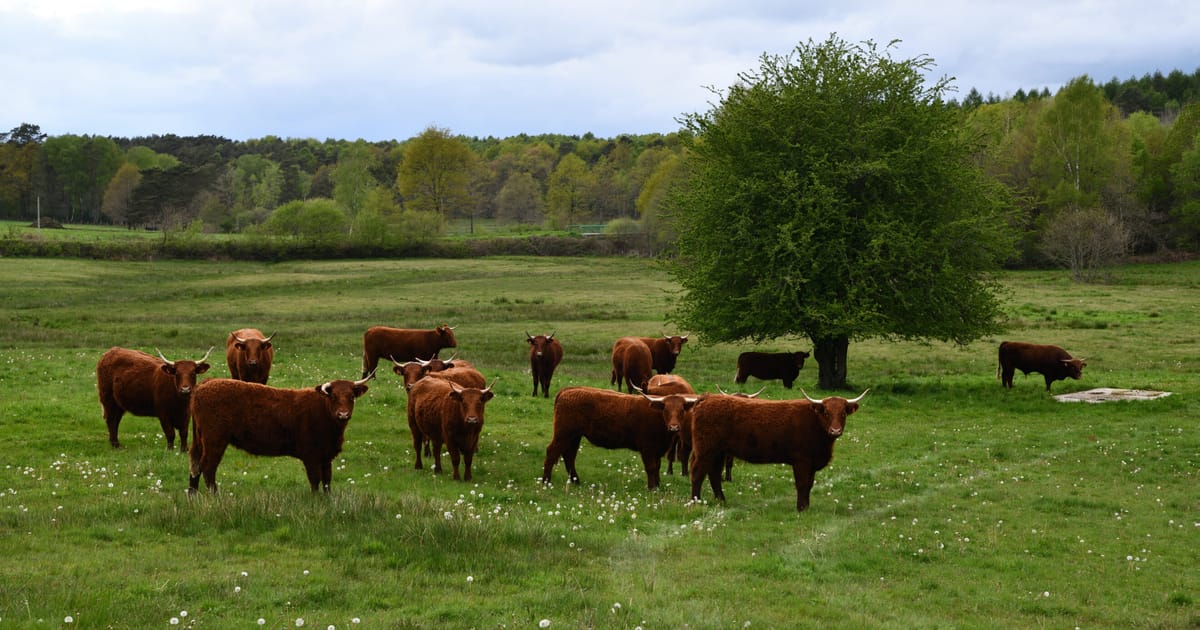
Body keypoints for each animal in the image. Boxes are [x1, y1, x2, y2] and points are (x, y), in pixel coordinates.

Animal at [187, 375, 372, 493]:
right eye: (333, 396)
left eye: (351, 396)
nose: (343, 414)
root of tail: (206, 383)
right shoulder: (311, 456)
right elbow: (315, 481)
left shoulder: (326, 457)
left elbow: (327, 481)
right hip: (215, 440)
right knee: (208, 467)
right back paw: (215, 497)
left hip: (201, 440)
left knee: (195, 465)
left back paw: (193, 495)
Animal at [542, 386, 699, 490]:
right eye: (666, 410)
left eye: (682, 410)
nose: (674, 427)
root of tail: (567, 390)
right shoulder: (647, 449)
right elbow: (651, 467)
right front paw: (651, 487)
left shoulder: (657, 450)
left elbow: (657, 467)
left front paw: (658, 485)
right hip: (563, 433)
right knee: (552, 452)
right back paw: (546, 482)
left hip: (574, 436)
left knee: (569, 456)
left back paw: (575, 481)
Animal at [688, 389, 867, 512]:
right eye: (827, 412)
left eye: (843, 413)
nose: (835, 431)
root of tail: (708, 397)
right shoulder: (802, 461)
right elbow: (802, 484)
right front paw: (801, 508)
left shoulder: (811, 463)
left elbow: (809, 485)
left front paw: (806, 507)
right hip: (706, 450)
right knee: (697, 473)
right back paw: (695, 502)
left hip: (718, 452)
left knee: (714, 474)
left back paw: (722, 501)